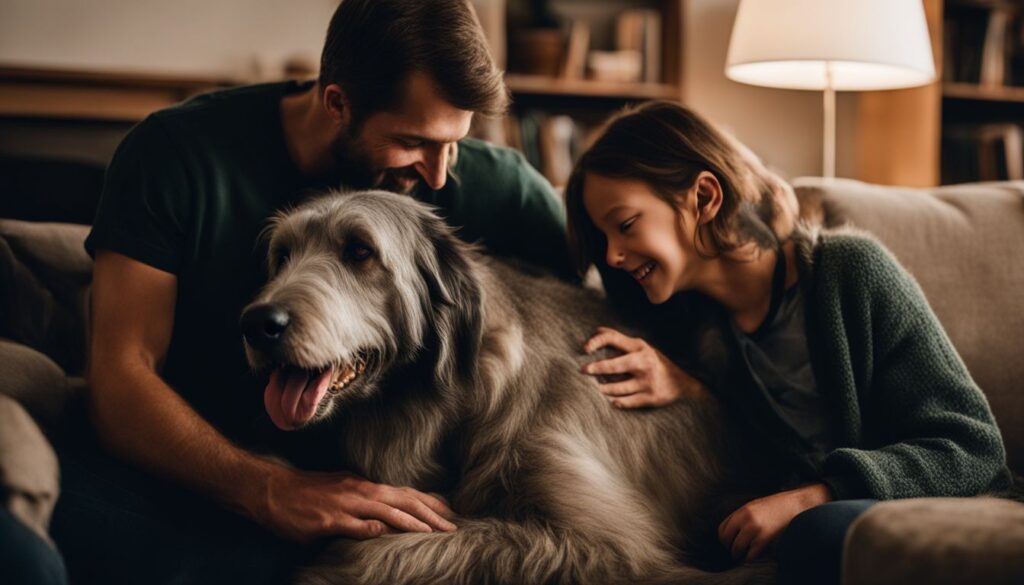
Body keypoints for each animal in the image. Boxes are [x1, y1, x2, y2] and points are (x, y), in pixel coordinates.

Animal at [237, 189, 770, 581]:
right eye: (283, 255)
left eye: (359, 251)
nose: (258, 323)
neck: (448, 406)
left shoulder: (609, 547)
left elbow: (378, 548)